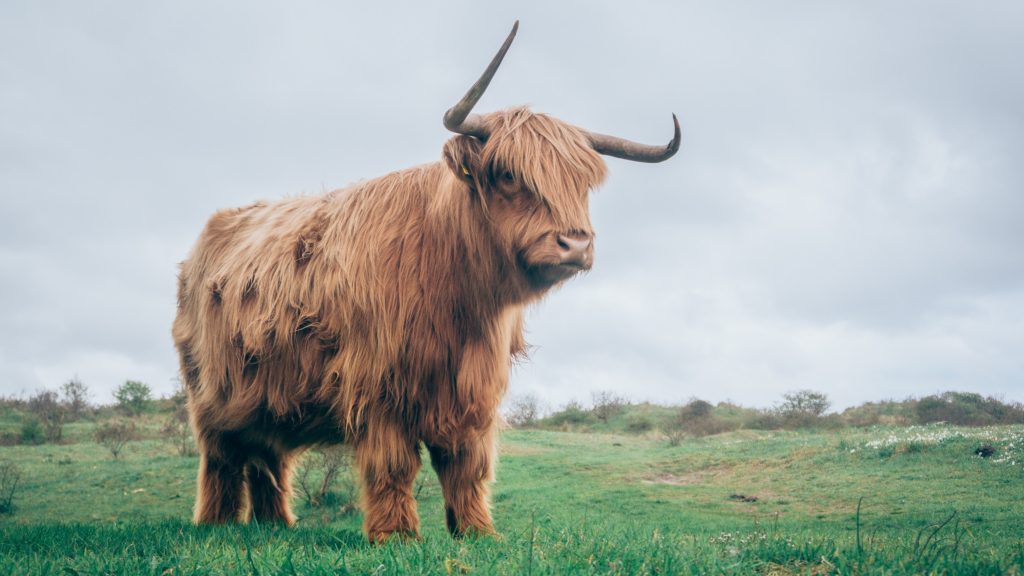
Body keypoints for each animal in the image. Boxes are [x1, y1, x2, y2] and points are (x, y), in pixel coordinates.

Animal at [172, 22, 679, 541]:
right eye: (508, 174)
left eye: (582, 184)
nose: (575, 245)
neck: (459, 298)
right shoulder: (378, 385)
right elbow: (394, 465)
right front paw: (396, 535)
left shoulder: (473, 391)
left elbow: (467, 466)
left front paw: (477, 532)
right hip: (210, 395)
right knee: (222, 459)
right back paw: (216, 524)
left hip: (267, 398)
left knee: (267, 458)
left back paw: (276, 525)